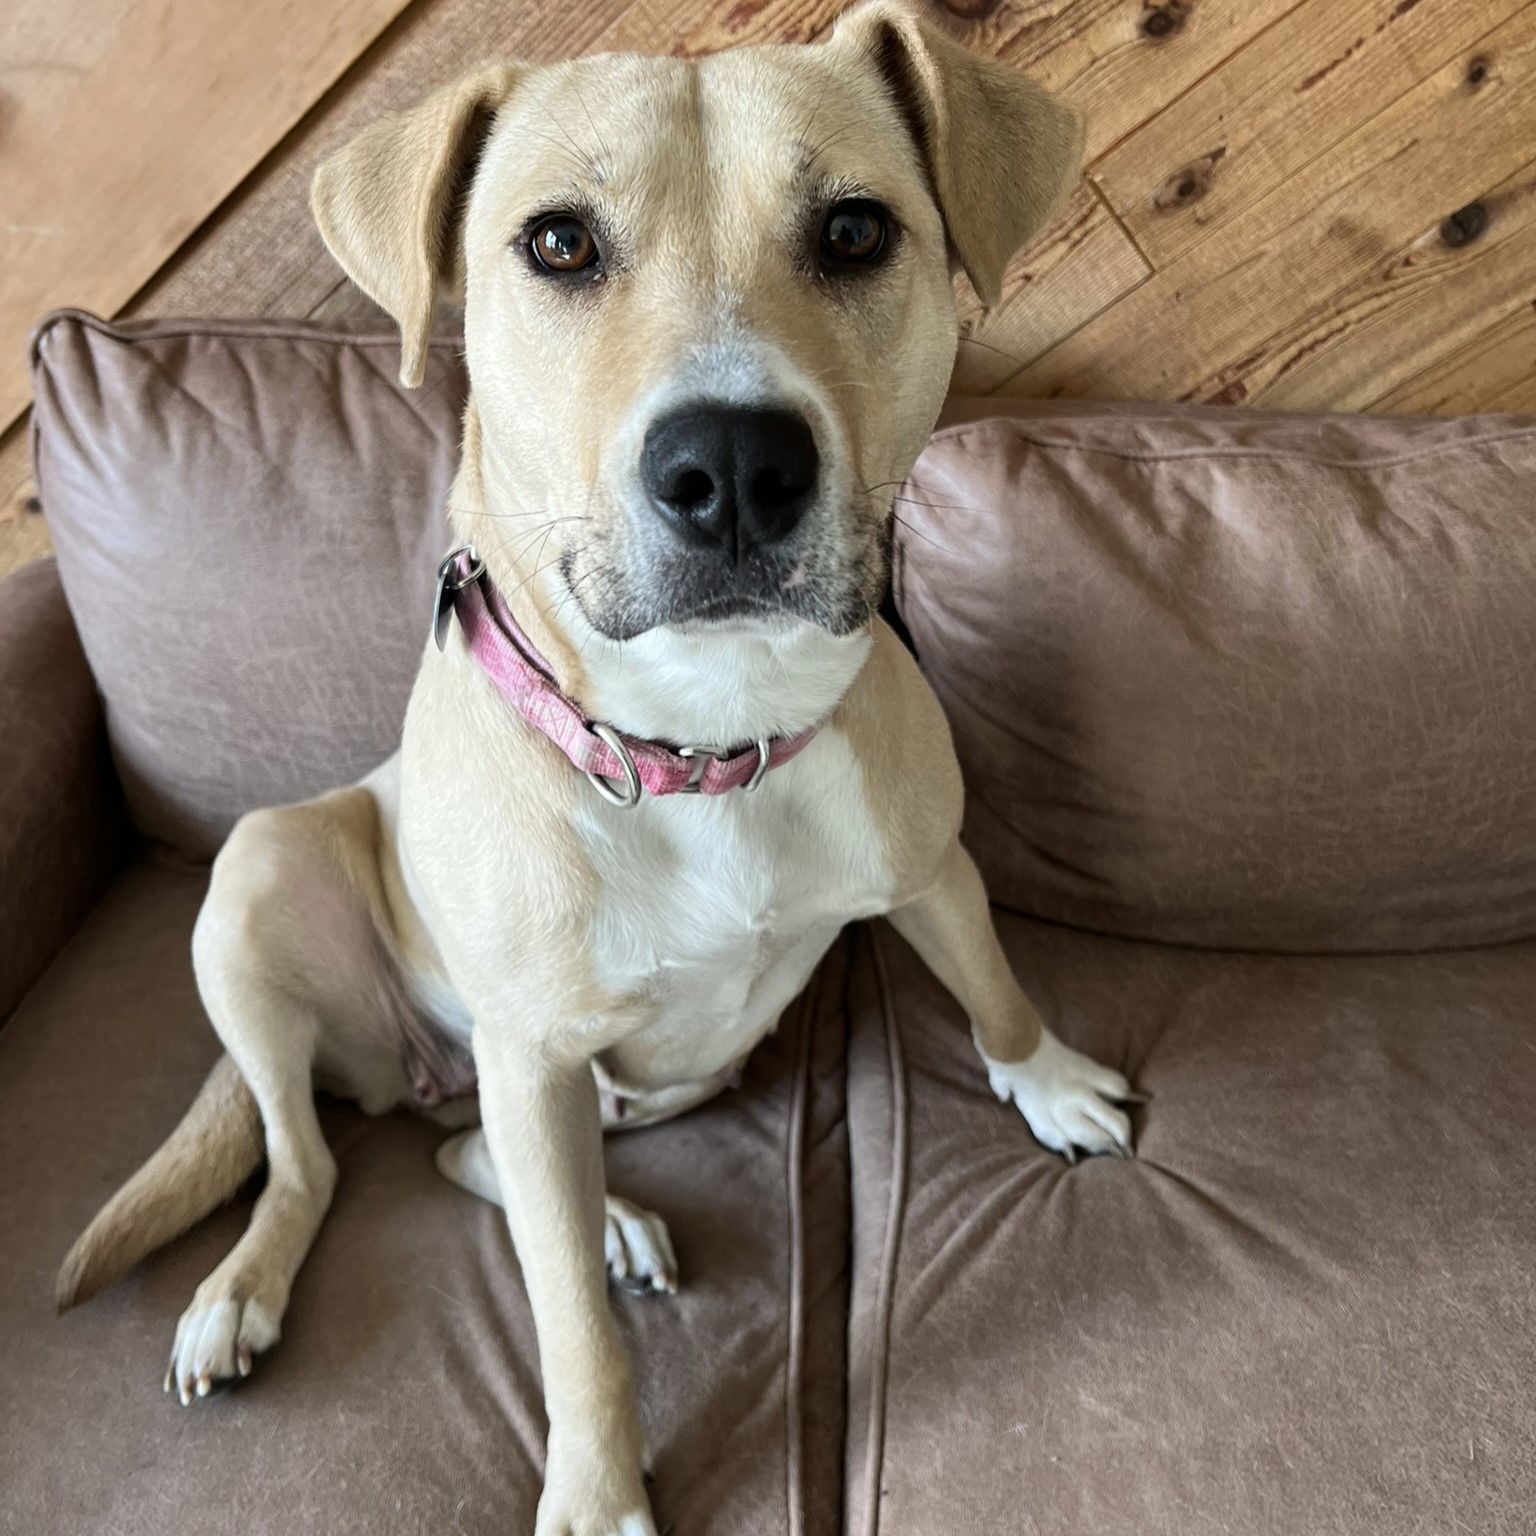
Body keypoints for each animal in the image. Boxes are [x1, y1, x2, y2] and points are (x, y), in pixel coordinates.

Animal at [56, 6, 1142, 1529]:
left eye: (856, 230)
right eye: (559, 243)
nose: (734, 465)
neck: (699, 739)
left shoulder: (929, 865)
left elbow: (990, 985)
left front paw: (1045, 1079)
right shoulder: (530, 1059)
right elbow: (565, 1321)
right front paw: (594, 1485)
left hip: (645, 1084)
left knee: (464, 1159)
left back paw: (615, 1216)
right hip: (268, 883)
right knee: (317, 1161)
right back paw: (243, 1293)